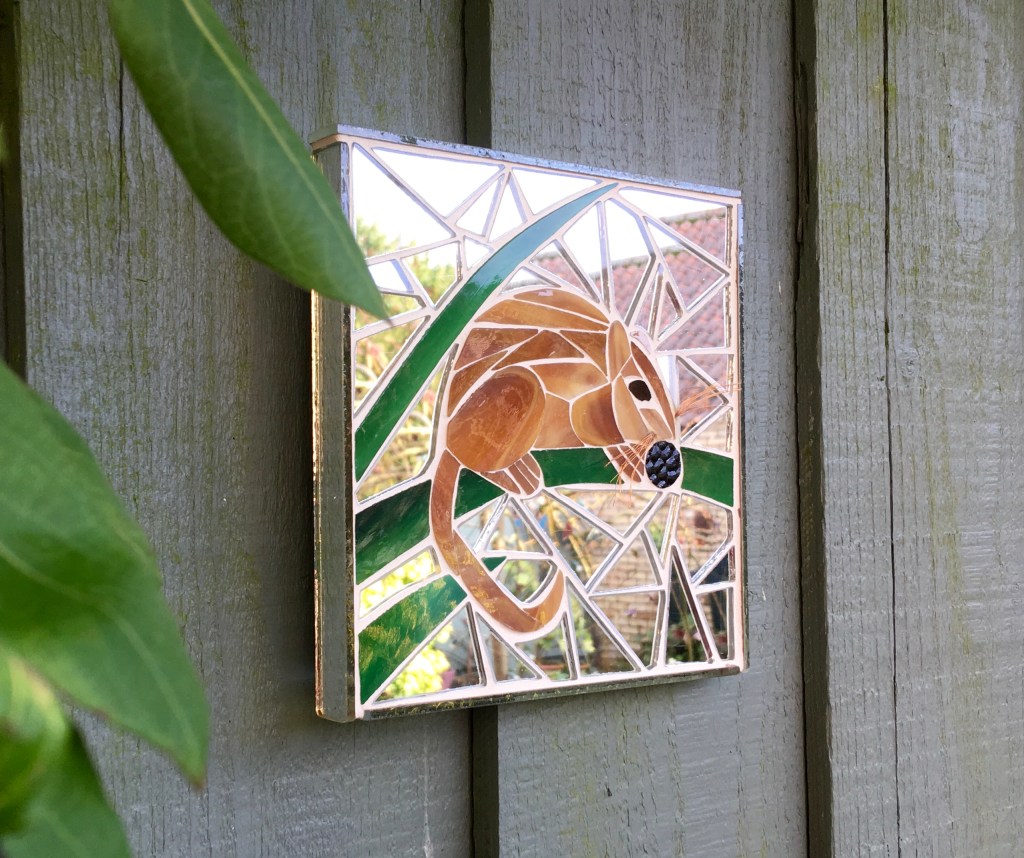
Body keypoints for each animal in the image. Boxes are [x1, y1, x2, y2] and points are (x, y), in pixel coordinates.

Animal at [428, 287, 678, 635]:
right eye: (640, 390)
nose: (669, 446)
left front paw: (628, 460)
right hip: (516, 391)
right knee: (465, 453)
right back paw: (519, 474)